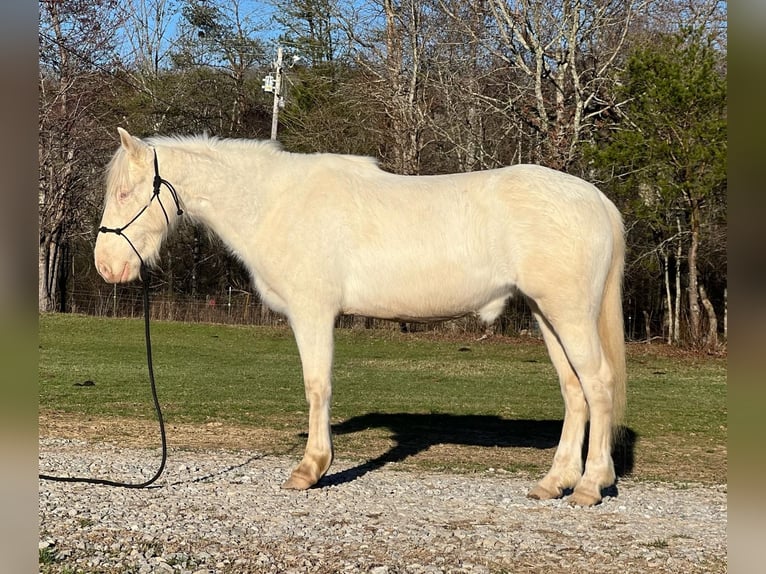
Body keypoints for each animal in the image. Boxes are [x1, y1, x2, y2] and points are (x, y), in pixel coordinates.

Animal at [93, 128, 628, 506]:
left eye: (124, 194)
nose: (106, 266)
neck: (273, 202)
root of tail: (597, 200)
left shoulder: (312, 312)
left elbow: (317, 386)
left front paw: (310, 469)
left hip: (568, 313)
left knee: (597, 383)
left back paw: (590, 486)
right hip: (546, 314)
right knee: (574, 391)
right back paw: (555, 482)